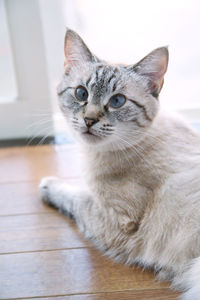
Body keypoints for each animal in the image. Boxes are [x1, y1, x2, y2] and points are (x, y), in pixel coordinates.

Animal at [39, 28, 200, 300]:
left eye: (117, 101)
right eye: (81, 94)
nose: (89, 120)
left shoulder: (115, 220)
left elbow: (74, 196)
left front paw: (48, 185)